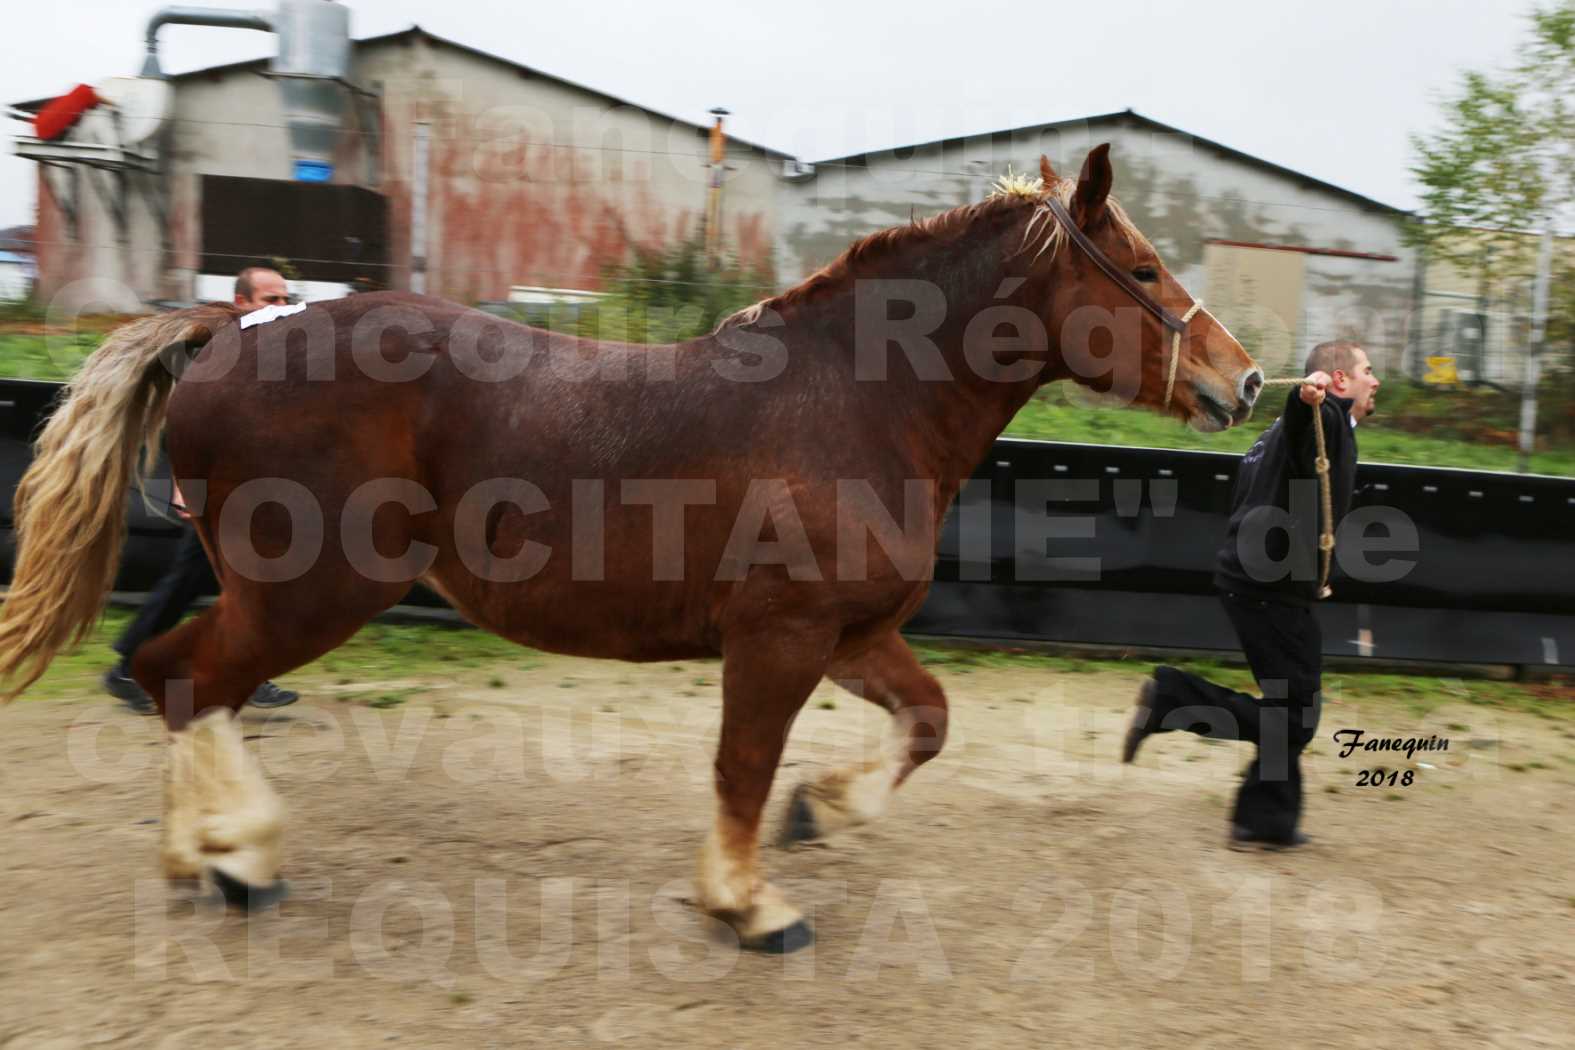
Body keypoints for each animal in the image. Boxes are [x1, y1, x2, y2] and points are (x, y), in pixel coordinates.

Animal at [0, 147, 1253, 950]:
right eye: (1144, 271)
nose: (1239, 381)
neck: (855, 398)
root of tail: (235, 322)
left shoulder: (854, 636)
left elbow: (927, 724)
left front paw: (823, 812)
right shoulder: (779, 637)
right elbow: (742, 767)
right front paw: (750, 904)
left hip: (282, 596)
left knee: (172, 674)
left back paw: (202, 855)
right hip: (308, 596)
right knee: (189, 679)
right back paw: (240, 853)